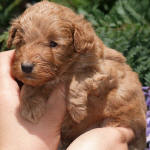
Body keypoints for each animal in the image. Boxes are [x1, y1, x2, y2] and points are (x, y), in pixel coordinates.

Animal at [7, 0, 146, 149]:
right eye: (21, 42)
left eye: (53, 43)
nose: (26, 67)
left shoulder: (106, 70)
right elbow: (31, 86)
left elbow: (79, 78)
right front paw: (30, 106)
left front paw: (77, 109)